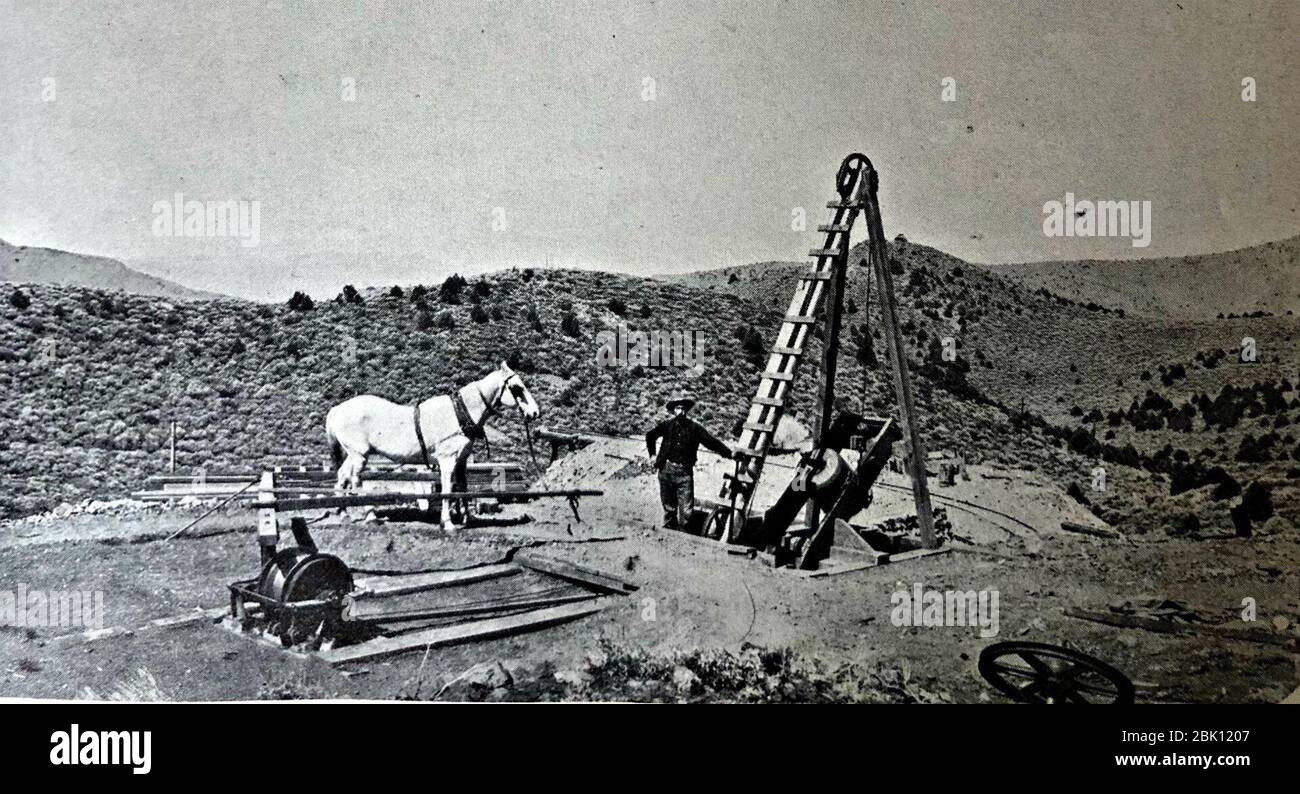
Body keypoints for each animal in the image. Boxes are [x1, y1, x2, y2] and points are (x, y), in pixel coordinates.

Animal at [332, 361, 546, 527]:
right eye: (517, 388)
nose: (535, 413)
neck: (459, 414)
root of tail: (337, 410)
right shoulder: (447, 460)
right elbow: (446, 490)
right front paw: (447, 522)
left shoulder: (461, 461)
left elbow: (463, 487)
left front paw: (466, 518)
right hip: (359, 455)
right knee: (356, 479)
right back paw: (370, 516)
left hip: (353, 454)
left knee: (342, 475)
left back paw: (343, 513)